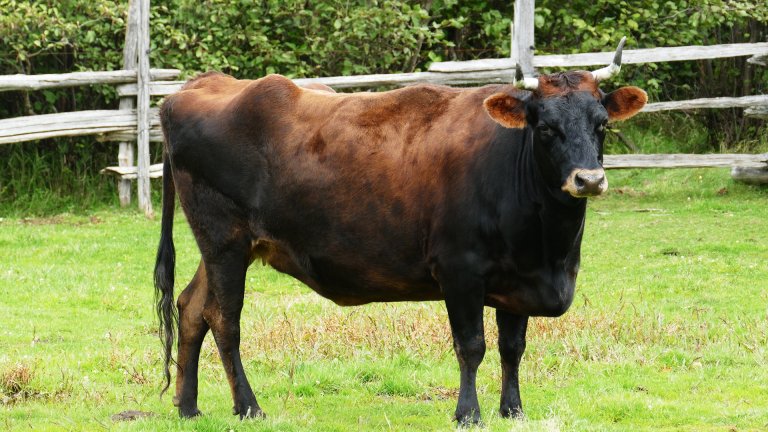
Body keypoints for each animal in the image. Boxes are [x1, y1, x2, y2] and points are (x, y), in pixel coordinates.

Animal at [154, 38, 647, 425]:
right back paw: (248, 406)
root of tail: (201, 86)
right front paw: (468, 413)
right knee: (224, 320)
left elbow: (512, 347)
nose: (588, 180)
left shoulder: (518, 279)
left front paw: (513, 410)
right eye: (545, 127)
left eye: (602, 124)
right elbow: (471, 345)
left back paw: (188, 406)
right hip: (225, 241)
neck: (548, 248)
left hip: (224, 247)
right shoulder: (459, 271)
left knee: (191, 308)